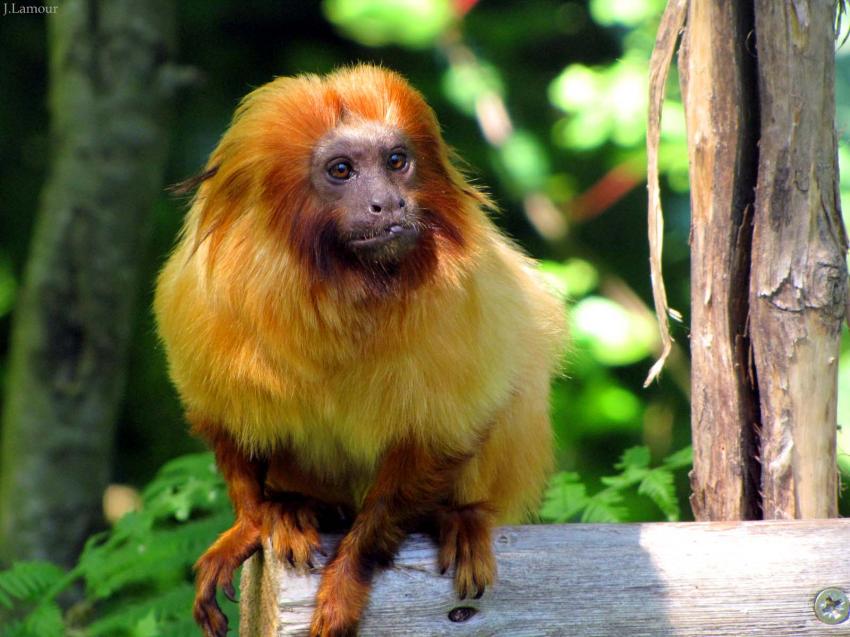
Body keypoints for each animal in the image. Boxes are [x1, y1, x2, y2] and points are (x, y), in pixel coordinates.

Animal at [154, 64, 565, 637]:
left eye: (396, 162)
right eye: (342, 170)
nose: (388, 203)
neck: (339, 288)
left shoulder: (466, 304)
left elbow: (438, 440)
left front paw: (347, 576)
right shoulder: (201, 304)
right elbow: (226, 426)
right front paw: (254, 523)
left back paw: (458, 518)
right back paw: (296, 509)